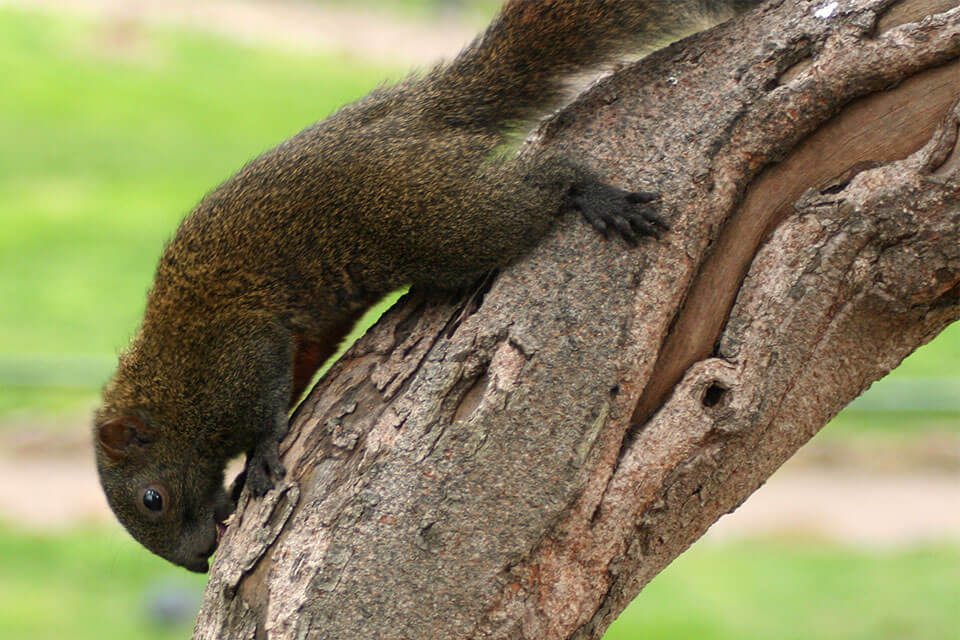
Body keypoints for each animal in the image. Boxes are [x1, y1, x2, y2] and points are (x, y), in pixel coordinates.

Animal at [93, 0, 765, 573]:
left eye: (152, 499)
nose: (196, 561)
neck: (172, 395)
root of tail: (420, 115)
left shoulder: (235, 351)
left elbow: (266, 407)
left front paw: (256, 459)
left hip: (427, 217)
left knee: (539, 184)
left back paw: (586, 188)